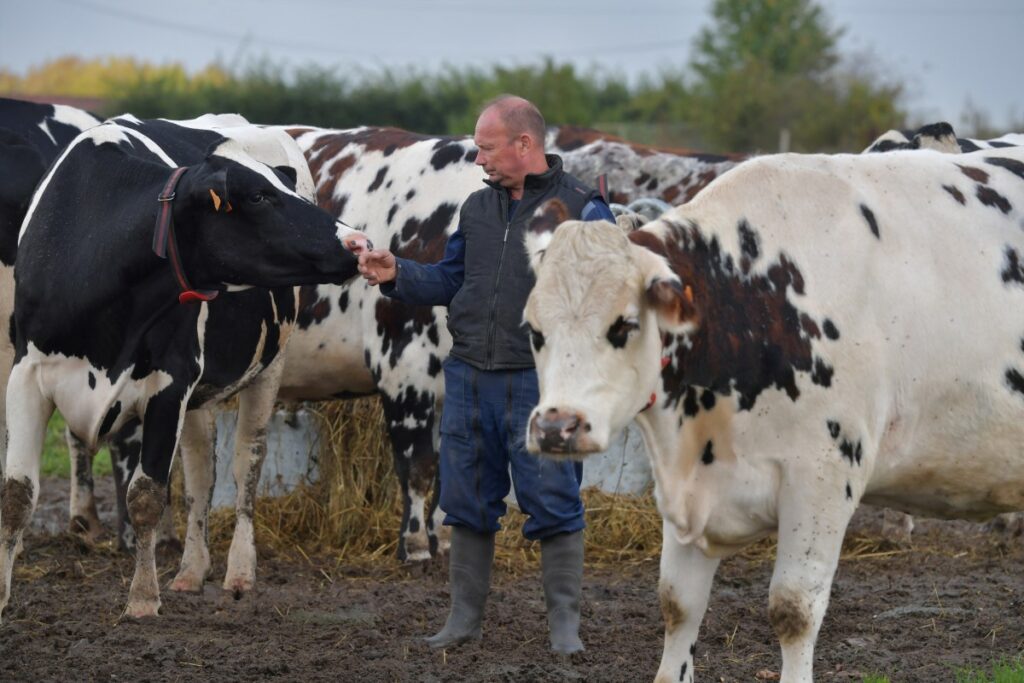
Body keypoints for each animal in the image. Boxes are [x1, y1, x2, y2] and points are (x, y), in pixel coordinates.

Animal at [0, 114, 364, 618]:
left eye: (282, 187)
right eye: (257, 196)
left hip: (269, 365)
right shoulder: (26, 374)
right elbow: (16, 494)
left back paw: (239, 571)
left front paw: (141, 600)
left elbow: (146, 494)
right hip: (201, 394)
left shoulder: (169, 382)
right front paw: (1, 597)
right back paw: (192, 571)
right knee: (200, 472)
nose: (359, 241)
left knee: (246, 465)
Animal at [524, 145, 1024, 683]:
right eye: (534, 330)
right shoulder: (687, 483)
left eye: (625, 325)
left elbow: (793, 608)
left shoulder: (824, 478)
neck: (748, 300)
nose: (556, 427)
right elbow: (677, 604)